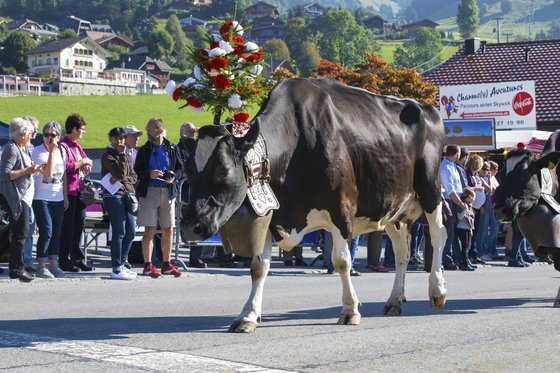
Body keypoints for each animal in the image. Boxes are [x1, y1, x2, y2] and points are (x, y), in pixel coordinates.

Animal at [182, 78, 448, 332]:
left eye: (223, 170)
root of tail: (427, 107)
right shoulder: (270, 216)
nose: (190, 227)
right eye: (188, 171)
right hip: (392, 206)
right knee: (402, 251)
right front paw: (247, 315)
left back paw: (437, 291)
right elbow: (258, 266)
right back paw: (394, 301)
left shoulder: (342, 209)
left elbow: (341, 260)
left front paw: (350, 309)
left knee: (438, 234)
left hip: (430, 189)